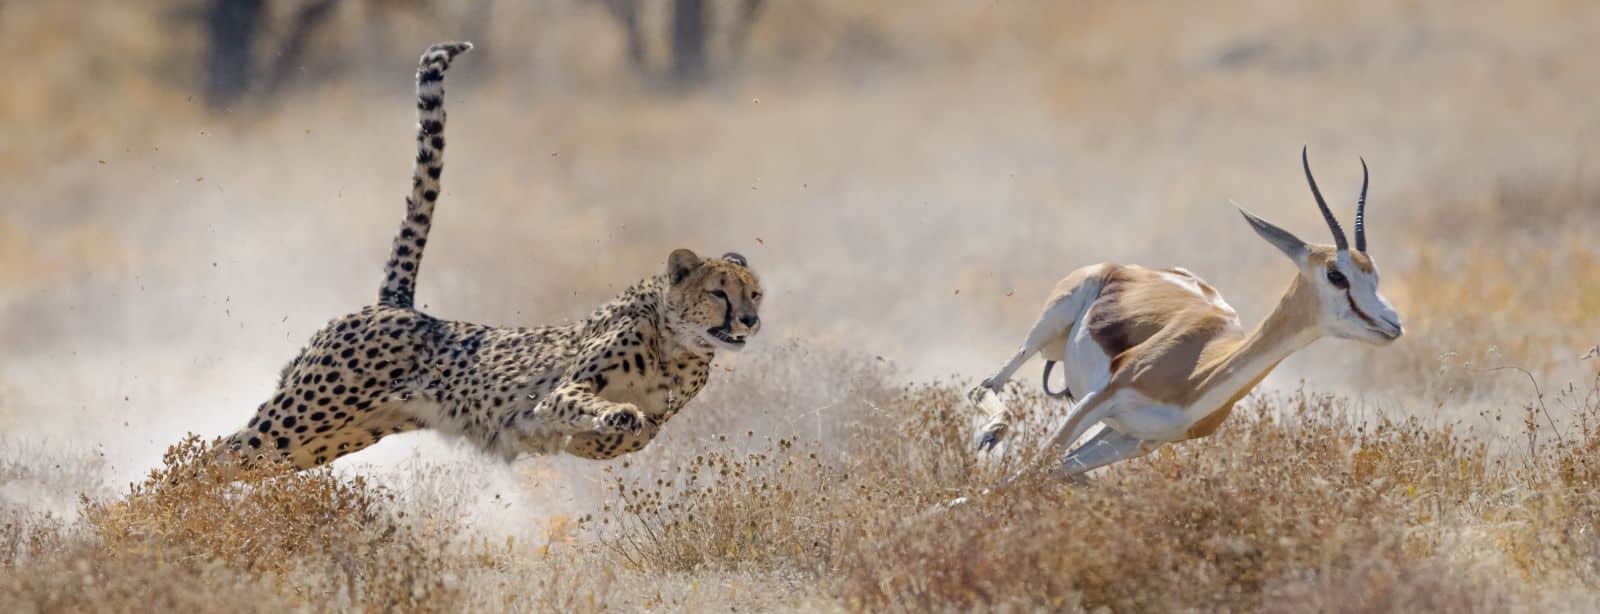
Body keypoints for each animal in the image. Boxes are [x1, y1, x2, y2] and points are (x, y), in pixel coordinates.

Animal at [217, 42, 764, 470]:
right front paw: (613, 415)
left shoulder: (650, 416)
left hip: (324, 439)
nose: (751, 320)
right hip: (302, 416)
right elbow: (585, 406)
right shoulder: (560, 390)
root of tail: (395, 304)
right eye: (719, 293)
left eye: (755, 294)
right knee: (211, 457)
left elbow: (638, 433)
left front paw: (608, 430)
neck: (677, 345)